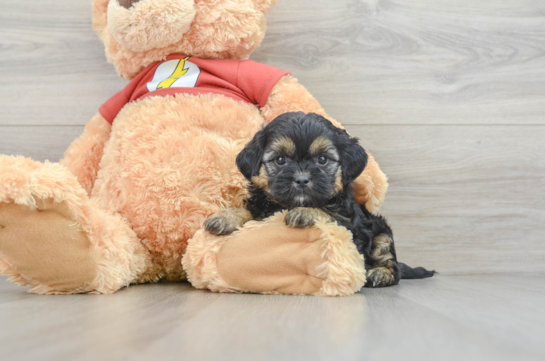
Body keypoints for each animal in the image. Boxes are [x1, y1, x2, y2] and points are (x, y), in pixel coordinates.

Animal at [204, 111, 434, 286]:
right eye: (280, 160)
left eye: (323, 159)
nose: (302, 179)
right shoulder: (262, 207)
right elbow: (249, 210)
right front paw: (226, 217)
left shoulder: (351, 225)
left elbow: (327, 212)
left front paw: (305, 212)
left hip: (382, 233)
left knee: (390, 261)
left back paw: (381, 273)